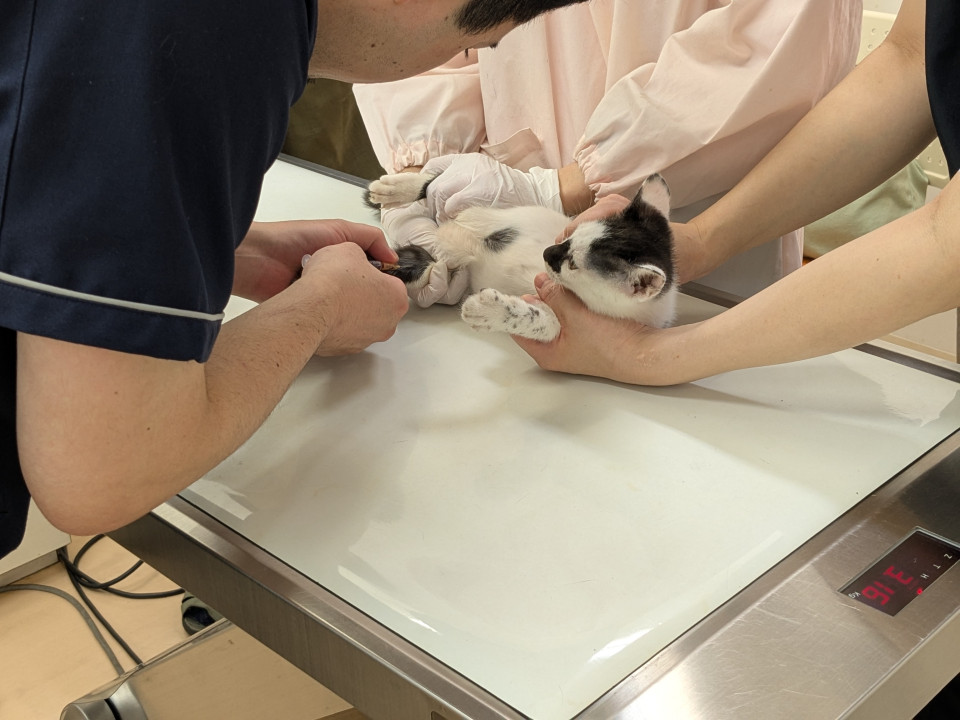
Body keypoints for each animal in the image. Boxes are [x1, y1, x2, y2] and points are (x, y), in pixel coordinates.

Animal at [366, 171, 677, 342]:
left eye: (573, 264)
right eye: (571, 236)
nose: (548, 251)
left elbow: (550, 325)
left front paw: (487, 311)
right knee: (437, 191)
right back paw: (396, 189)